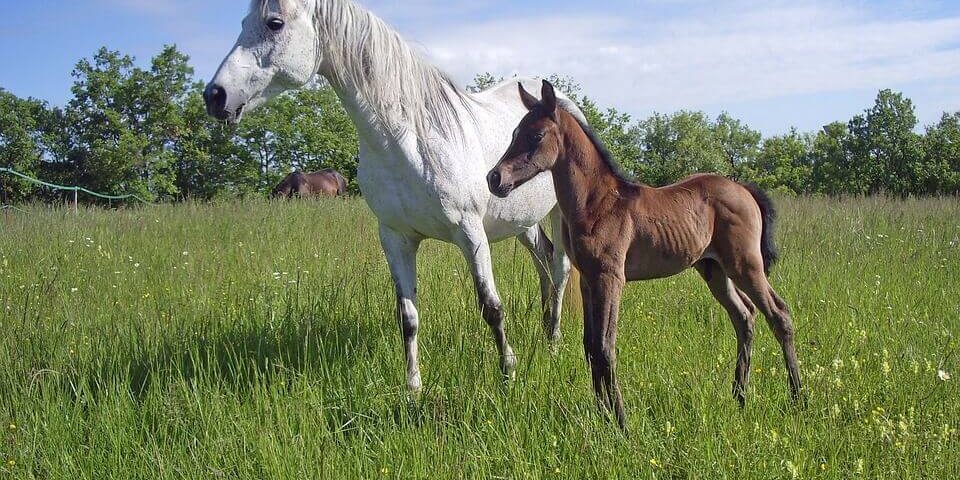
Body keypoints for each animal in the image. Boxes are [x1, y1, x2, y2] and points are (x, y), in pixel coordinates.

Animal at [205, 0, 580, 392]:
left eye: (274, 23)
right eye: (243, 21)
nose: (214, 96)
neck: (411, 139)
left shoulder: (470, 232)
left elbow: (490, 306)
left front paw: (508, 374)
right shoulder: (395, 237)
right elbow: (407, 316)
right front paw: (413, 389)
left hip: (558, 213)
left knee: (560, 267)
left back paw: (553, 343)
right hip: (522, 221)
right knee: (543, 261)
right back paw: (545, 329)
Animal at [488, 80, 804, 430]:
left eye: (537, 135)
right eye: (515, 132)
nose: (495, 178)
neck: (597, 202)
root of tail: (744, 189)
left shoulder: (611, 278)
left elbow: (605, 347)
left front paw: (621, 423)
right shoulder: (589, 280)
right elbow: (589, 346)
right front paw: (602, 416)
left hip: (745, 264)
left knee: (779, 314)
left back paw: (798, 398)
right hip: (714, 269)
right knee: (745, 316)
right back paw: (739, 397)